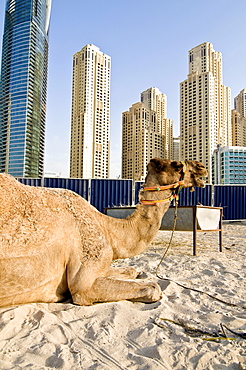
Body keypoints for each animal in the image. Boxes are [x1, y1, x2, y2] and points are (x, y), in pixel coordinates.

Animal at [0, 159, 207, 306]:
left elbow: (132, 270)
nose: (202, 167)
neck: (107, 229)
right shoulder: (83, 284)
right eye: (177, 165)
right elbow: (154, 288)